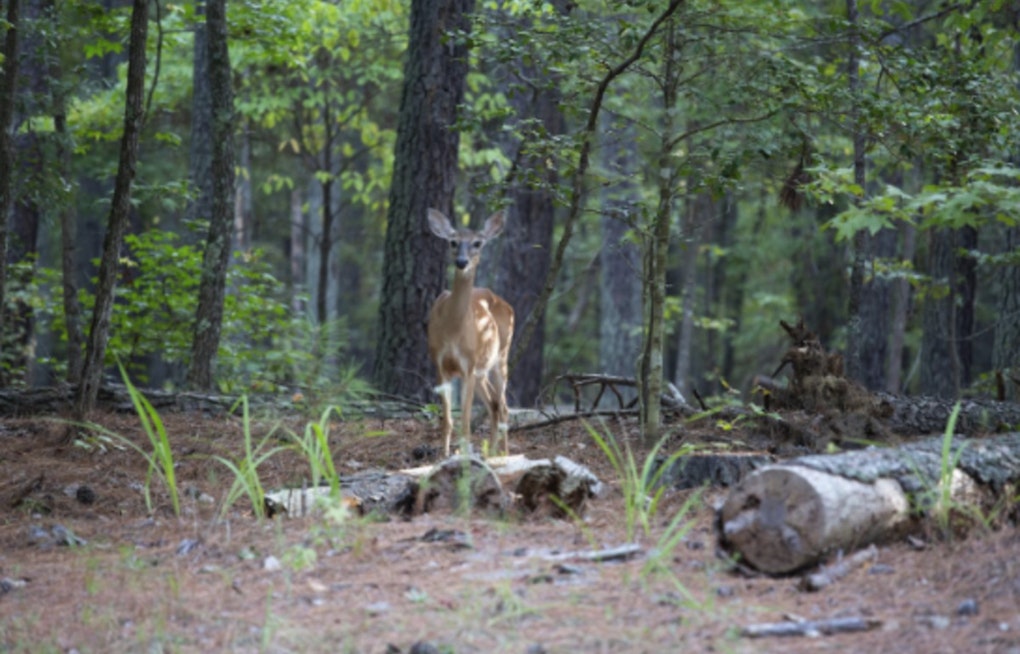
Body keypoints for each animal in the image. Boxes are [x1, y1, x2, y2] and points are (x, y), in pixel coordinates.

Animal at [426, 208, 515, 457]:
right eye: (453, 242)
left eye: (477, 243)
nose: (462, 261)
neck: (453, 330)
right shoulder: (440, 364)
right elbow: (447, 422)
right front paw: (444, 457)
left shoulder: (468, 365)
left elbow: (465, 422)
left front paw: (462, 459)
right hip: (481, 371)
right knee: (495, 403)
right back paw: (492, 452)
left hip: (501, 356)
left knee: (504, 406)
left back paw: (504, 454)